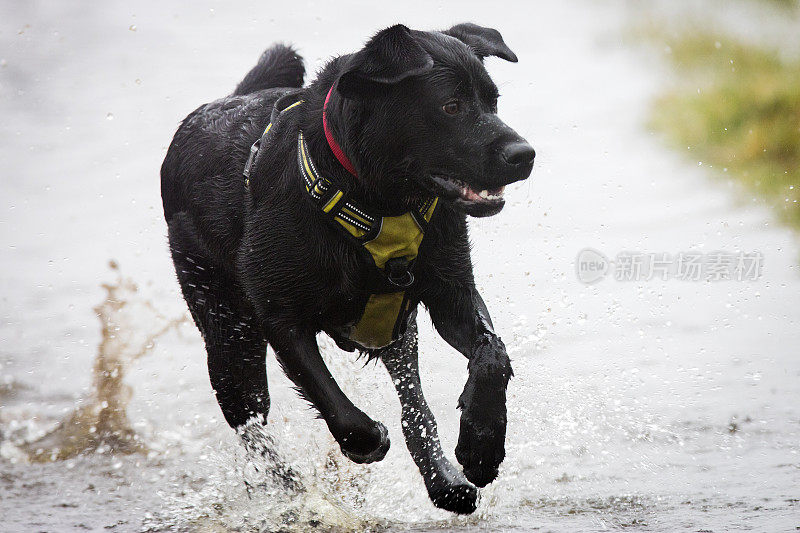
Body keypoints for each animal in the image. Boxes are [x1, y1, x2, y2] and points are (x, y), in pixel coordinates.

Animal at [159, 22, 536, 512]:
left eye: (493, 101)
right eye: (450, 106)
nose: (524, 154)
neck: (375, 201)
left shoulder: (450, 294)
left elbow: (493, 356)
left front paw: (482, 443)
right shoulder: (280, 316)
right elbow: (329, 397)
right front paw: (365, 440)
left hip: (395, 329)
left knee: (415, 407)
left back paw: (444, 481)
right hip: (228, 337)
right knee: (250, 424)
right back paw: (288, 490)